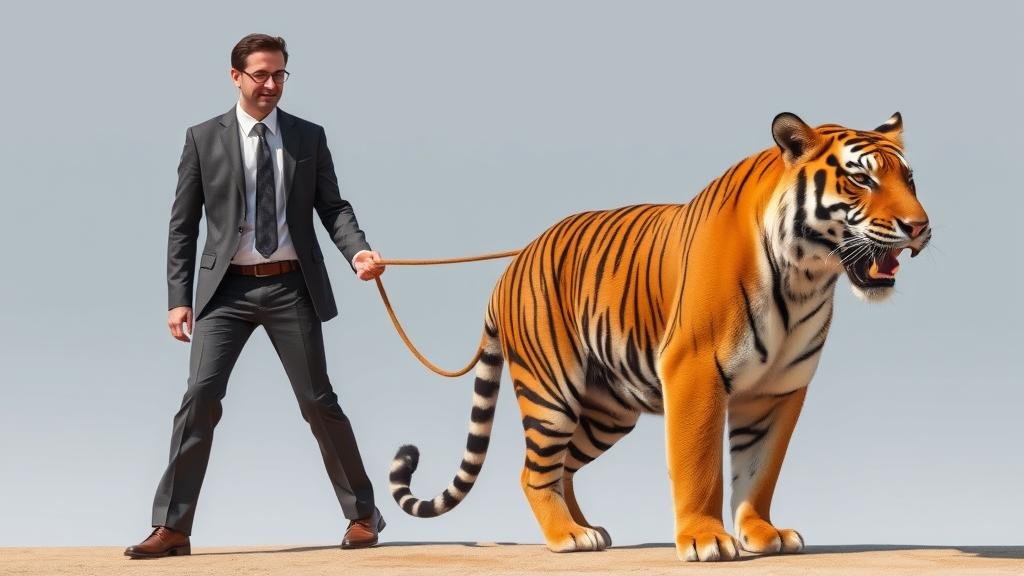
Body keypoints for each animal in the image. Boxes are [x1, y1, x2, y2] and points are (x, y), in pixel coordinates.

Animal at [389, 112, 930, 562]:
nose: (919, 226)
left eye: (909, 179)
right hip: (552, 391)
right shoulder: (695, 369)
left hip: (608, 411)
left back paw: (588, 530)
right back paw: (566, 536)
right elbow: (700, 465)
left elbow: (760, 469)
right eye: (861, 179)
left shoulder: (779, 389)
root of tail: (513, 263)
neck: (804, 278)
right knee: (535, 471)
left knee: (563, 468)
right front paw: (705, 539)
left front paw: (762, 533)